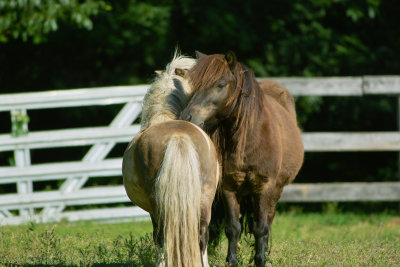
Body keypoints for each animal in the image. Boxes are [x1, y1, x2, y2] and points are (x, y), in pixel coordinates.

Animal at [123, 53, 220, 266]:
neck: (163, 117)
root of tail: (179, 136)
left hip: (158, 205)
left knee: (161, 236)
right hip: (204, 200)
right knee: (202, 235)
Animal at [179, 52, 304, 267]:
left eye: (220, 84)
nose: (186, 116)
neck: (250, 140)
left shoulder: (265, 187)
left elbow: (261, 227)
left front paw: (260, 260)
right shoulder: (228, 187)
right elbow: (233, 227)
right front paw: (232, 261)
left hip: (276, 190)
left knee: (267, 220)